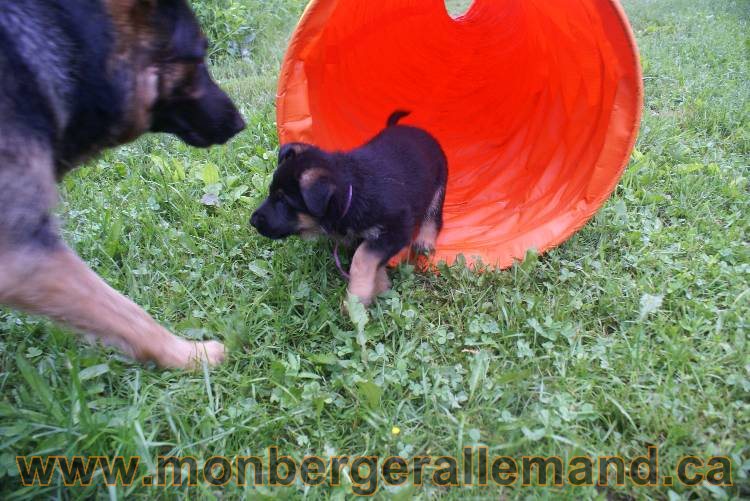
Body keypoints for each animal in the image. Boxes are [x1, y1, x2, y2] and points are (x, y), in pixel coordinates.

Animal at [253, 111, 446, 304]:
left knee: (434, 214)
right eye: (271, 192)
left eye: (284, 201)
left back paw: (425, 241)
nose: (252, 221)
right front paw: (379, 288)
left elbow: (362, 258)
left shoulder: (398, 228)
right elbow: (373, 261)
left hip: (439, 183)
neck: (352, 191)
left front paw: (357, 297)